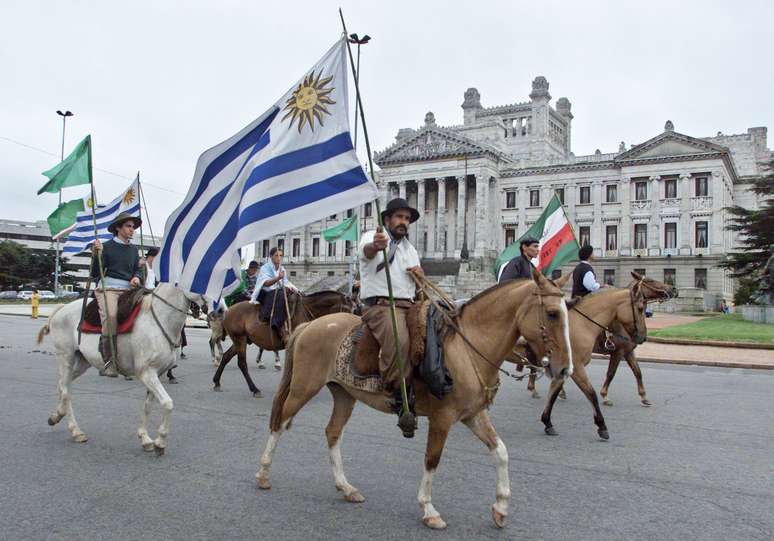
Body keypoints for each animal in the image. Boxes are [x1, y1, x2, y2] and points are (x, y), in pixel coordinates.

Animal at [36, 284, 206, 454]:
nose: (211, 312)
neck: (159, 319)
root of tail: (62, 309)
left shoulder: (156, 373)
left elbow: (148, 406)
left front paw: (145, 439)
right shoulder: (146, 373)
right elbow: (167, 403)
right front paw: (160, 442)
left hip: (82, 361)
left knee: (62, 385)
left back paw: (57, 415)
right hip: (66, 356)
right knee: (66, 391)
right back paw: (75, 431)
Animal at [212, 288, 352, 394]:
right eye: (347, 310)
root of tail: (228, 311)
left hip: (242, 340)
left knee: (226, 356)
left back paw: (217, 381)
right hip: (239, 339)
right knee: (241, 363)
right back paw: (254, 389)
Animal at [256, 270, 576, 528]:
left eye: (566, 311)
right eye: (552, 313)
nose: (564, 369)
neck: (466, 348)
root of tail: (310, 326)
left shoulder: (473, 415)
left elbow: (501, 452)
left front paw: (500, 507)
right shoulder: (442, 418)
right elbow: (432, 459)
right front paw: (429, 509)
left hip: (344, 394)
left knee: (332, 432)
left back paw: (346, 488)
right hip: (304, 387)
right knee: (279, 421)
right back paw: (263, 473)